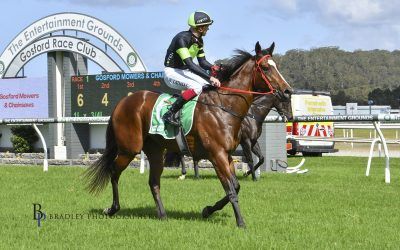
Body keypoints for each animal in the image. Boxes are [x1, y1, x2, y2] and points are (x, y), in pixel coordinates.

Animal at [84, 41, 292, 229]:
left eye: (275, 65)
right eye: (265, 67)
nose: (287, 90)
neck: (224, 107)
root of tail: (122, 102)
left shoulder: (227, 154)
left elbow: (236, 186)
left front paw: (208, 210)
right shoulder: (217, 154)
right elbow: (231, 189)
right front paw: (240, 222)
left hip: (155, 151)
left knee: (153, 182)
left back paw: (162, 215)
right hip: (129, 148)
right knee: (113, 171)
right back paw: (112, 208)